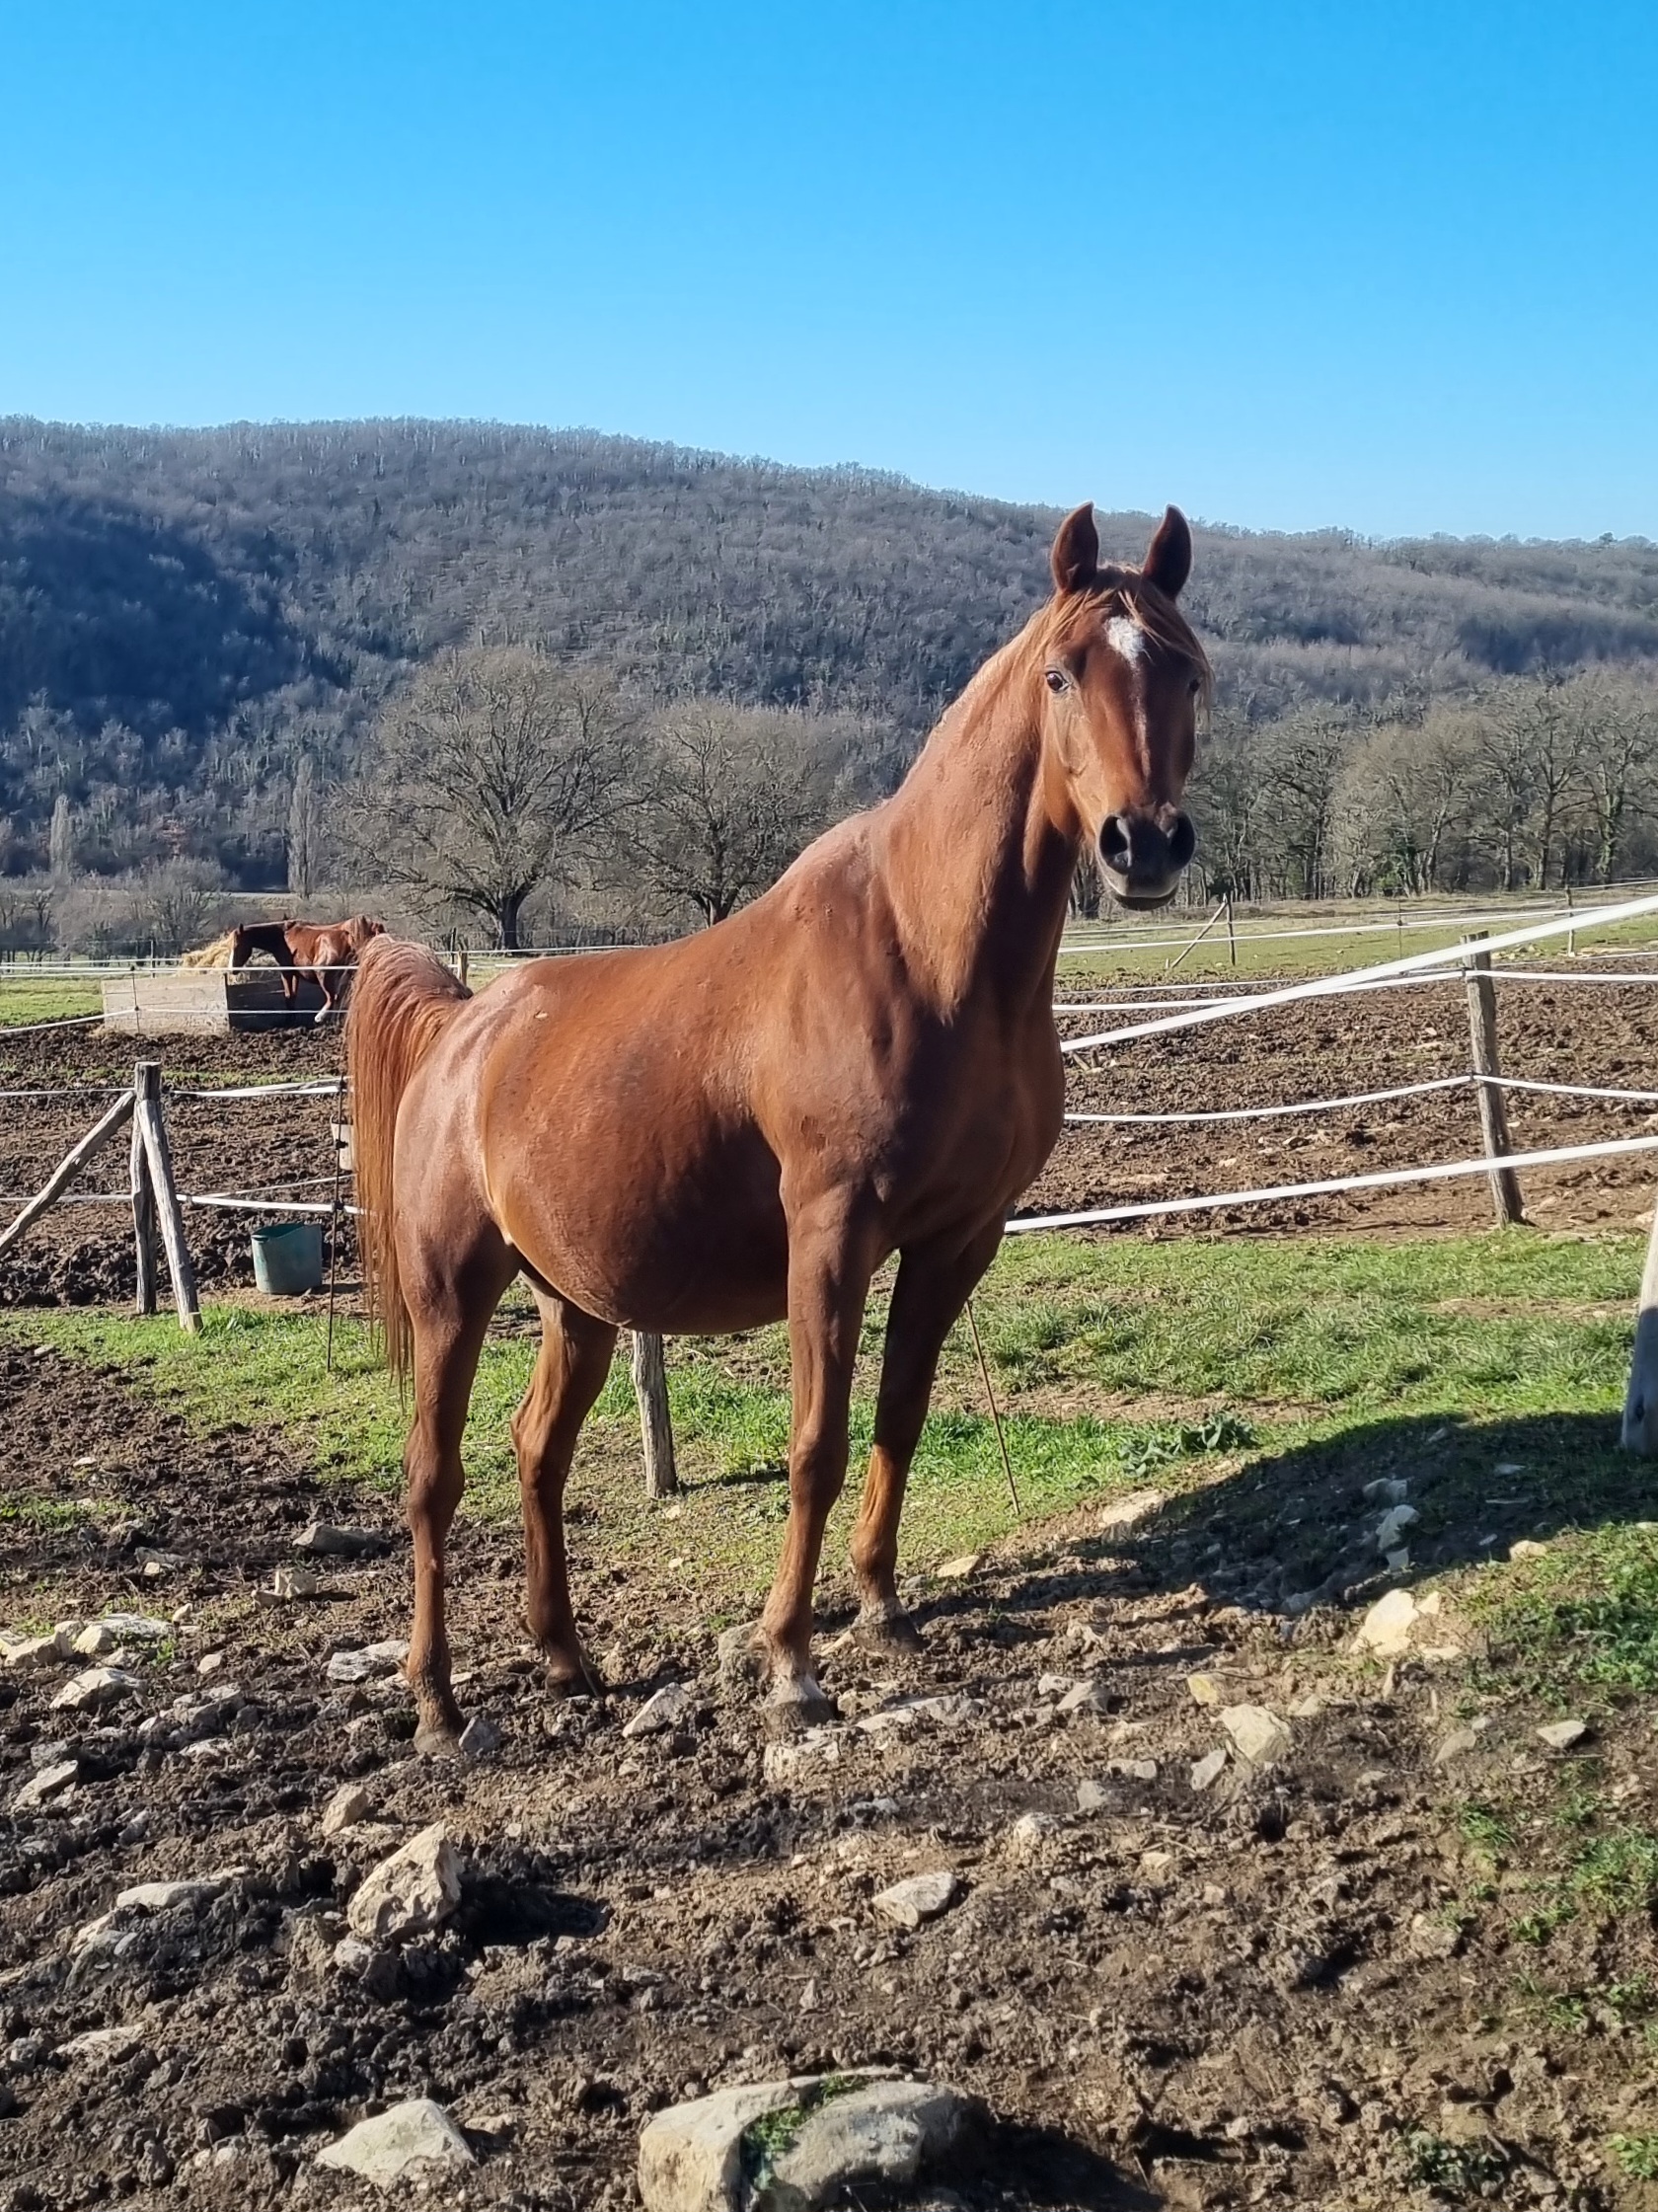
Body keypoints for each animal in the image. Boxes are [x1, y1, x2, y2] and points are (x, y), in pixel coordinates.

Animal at [231, 914, 385, 1022]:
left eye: (237, 945)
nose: (233, 970)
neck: (283, 936)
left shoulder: (286, 973)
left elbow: (288, 995)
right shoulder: (295, 975)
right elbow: (292, 996)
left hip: (324, 975)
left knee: (332, 997)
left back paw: (320, 1017)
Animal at [347, 502, 1208, 1757]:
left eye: (1187, 670)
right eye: (1062, 673)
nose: (1143, 844)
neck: (930, 956)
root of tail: (468, 1028)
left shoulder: (959, 1238)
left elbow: (900, 1416)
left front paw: (883, 1606)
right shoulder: (832, 1235)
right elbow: (817, 1440)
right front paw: (792, 1659)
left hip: (577, 1306)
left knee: (536, 1454)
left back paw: (564, 1660)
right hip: (452, 1293)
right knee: (431, 1479)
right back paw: (435, 1701)